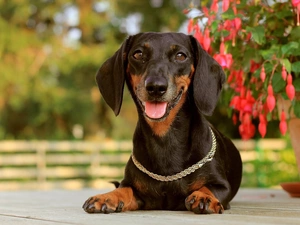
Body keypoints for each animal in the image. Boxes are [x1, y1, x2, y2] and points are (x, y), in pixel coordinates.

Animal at [83, 32, 243, 214]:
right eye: (138, 54)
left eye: (180, 55)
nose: (155, 87)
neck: (164, 139)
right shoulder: (135, 190)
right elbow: (125, 189)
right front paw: (107, 197)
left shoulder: (222, 186)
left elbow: (209, 187)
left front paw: (204, 196)